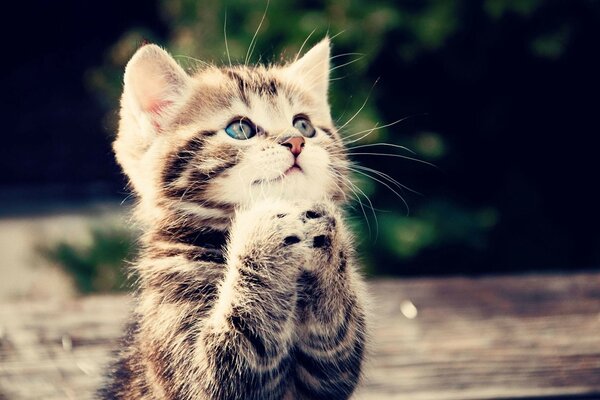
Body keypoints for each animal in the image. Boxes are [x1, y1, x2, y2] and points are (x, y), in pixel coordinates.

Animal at [101, 37, 368, 400]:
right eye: (240, 129)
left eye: (304, 125)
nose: (296, 141)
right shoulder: (192, 365)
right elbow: (226, 362)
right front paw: (264, 229)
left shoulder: (324, 377)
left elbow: (336, 341)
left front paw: (326, 237)